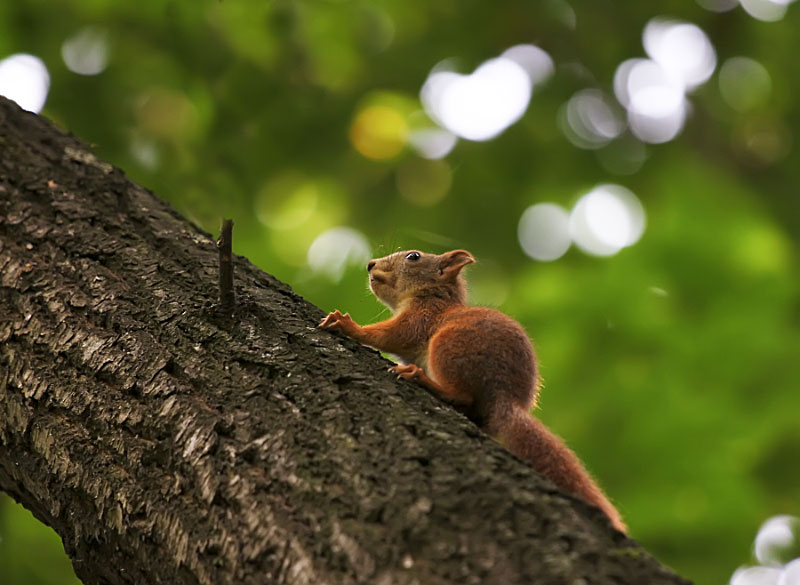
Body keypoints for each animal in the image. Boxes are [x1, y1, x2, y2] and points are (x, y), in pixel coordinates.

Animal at [319, 249, 626, 533]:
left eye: (413, 256)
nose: (370, 264)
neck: (431, 295)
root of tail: (505, 397)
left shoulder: (422, 318)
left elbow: (390, 334)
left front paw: (348, 325)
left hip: (448, 345)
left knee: (461, 394)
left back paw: (422, 378)